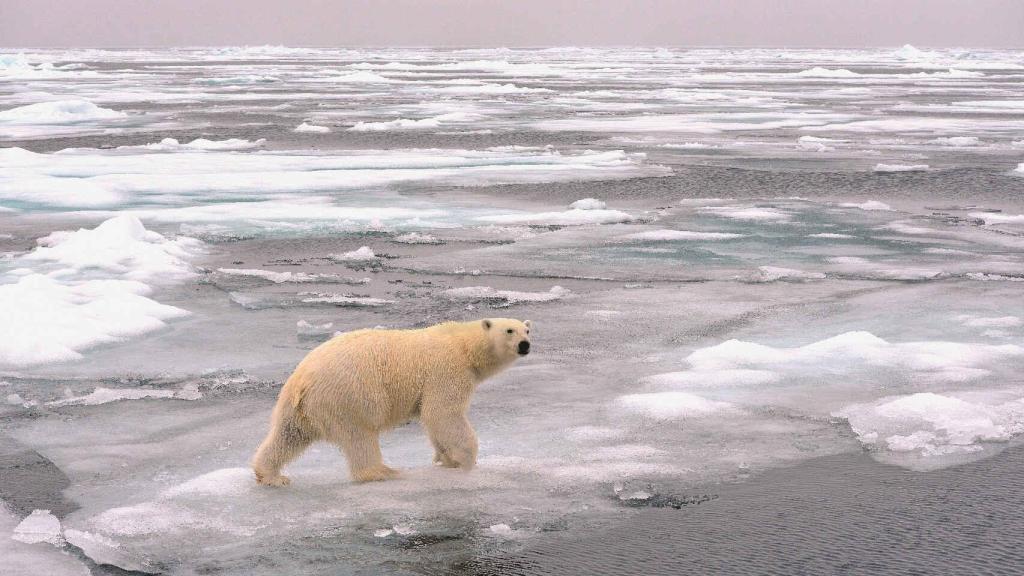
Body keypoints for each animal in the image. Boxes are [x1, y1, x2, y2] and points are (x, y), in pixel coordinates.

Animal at [251, 318, 532, 486]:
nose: (525, 344)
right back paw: (383, 472)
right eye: (509, 330)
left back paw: (271, 475)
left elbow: (433, 421)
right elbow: (442, 412)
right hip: (346, 396)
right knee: (359, 436)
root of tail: (302, 379)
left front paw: (446, 459)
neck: (464, 345)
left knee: (288, 435)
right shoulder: (446, 370)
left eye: (527, 329)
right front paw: (466, 460)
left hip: (298, 406)